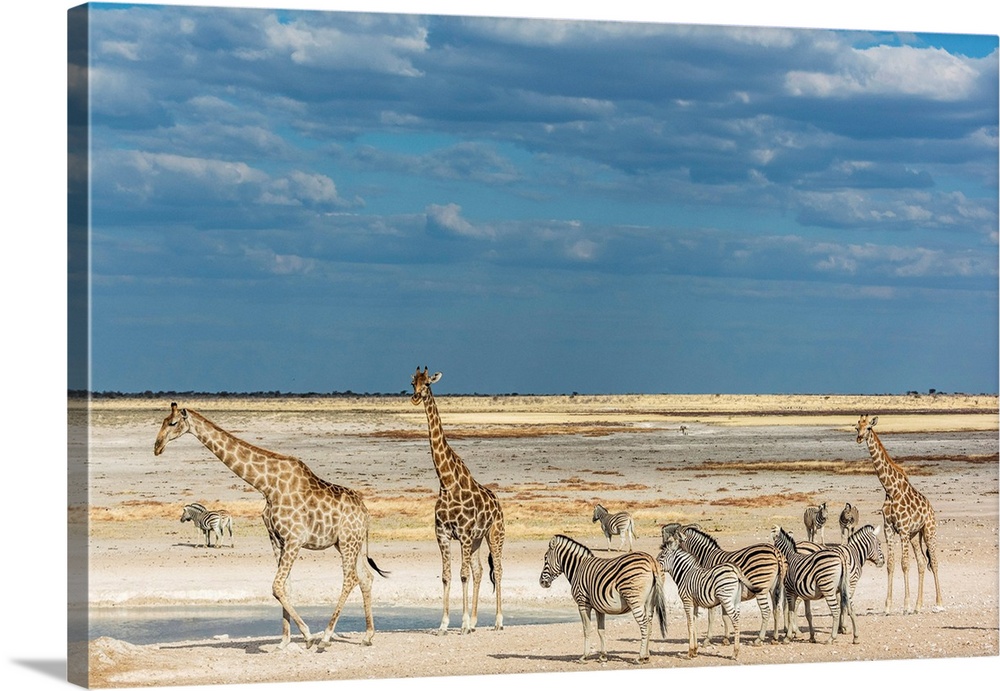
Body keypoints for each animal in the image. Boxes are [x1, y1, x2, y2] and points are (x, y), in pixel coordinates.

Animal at [152, 402, 386, 652]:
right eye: (162, 421)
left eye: (173, 423)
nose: (157, 447)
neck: (267, 486)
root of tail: (365, 512)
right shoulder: (276, 538)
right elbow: (285, 586)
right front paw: (284, 641)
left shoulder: (294, 538)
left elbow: (276, 586)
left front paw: (307, 635)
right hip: (347, 542)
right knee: (366, 577)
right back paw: (368, 636)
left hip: (348, 541)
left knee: (351, 578)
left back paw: (325, 637)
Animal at [408, 370, 504, 636]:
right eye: (412, 382)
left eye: (427, 383)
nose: (416, 397)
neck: (446, 482)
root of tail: (499, 504)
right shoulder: (442, 533)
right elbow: (446, 575)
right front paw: (444, 624)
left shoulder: (463, 534)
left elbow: (462, 575)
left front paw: (461, 624)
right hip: (478, 539)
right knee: (479, 571)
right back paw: (475, 622)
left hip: (494, 535)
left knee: (498, 570)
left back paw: (498, 621)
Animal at [536, 536, 668, 664]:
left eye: (545, 559)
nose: (541, 582)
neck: (578, 568)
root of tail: (651, 561)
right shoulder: (599, 607)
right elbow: (601, 631)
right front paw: (603, 656)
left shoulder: (583, 603)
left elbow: (587, 629)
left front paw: (584, 656)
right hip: (650, 602)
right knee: (649, 625)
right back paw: (646, 656)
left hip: (634, 600)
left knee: (644, 625)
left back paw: (640, 657)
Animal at [660, 532, 752, 664]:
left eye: (662, 555)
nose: (654, 566)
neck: (684, 574)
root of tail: (734, 568)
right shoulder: (695, 603)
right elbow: (694, 623)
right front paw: (695, 651)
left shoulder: (687, 601)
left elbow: (689, 624)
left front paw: (689, 652)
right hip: (736, 600)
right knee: (738, 619)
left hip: (726, 598)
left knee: (735, 620)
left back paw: (735, 653)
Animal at [852, 416, 944, 616]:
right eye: (856, 427)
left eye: (869, 427)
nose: (859, 438)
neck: (890, 489)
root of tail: (931, 508)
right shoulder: (889, 529)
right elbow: (891, 564)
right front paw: (888, 606)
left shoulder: (902, 529)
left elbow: (904, 564)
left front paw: (905, 605)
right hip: (915, 536)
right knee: (922, 562)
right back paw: (918, 606)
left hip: (929, 531)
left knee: (934, 562)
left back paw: (939, 603)